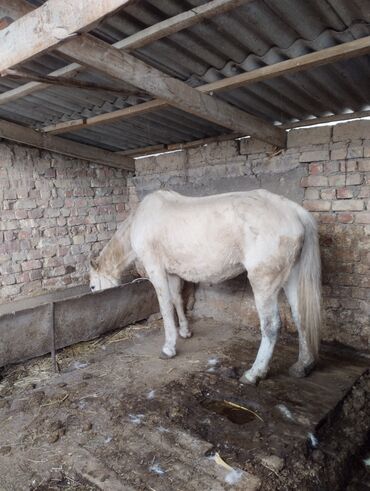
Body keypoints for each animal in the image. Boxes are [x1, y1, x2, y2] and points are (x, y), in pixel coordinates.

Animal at [90, 190, 320, 386]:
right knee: (300, 317)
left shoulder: (156, 269)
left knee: (271, 326)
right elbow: (177, 299)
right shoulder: (172, 273)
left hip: (263, 282)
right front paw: (184, 331)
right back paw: (303, 365)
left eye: (92, 286)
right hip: (291, 278)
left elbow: (165, 306)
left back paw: (254, 373)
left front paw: (168, 348)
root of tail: (294, 211)